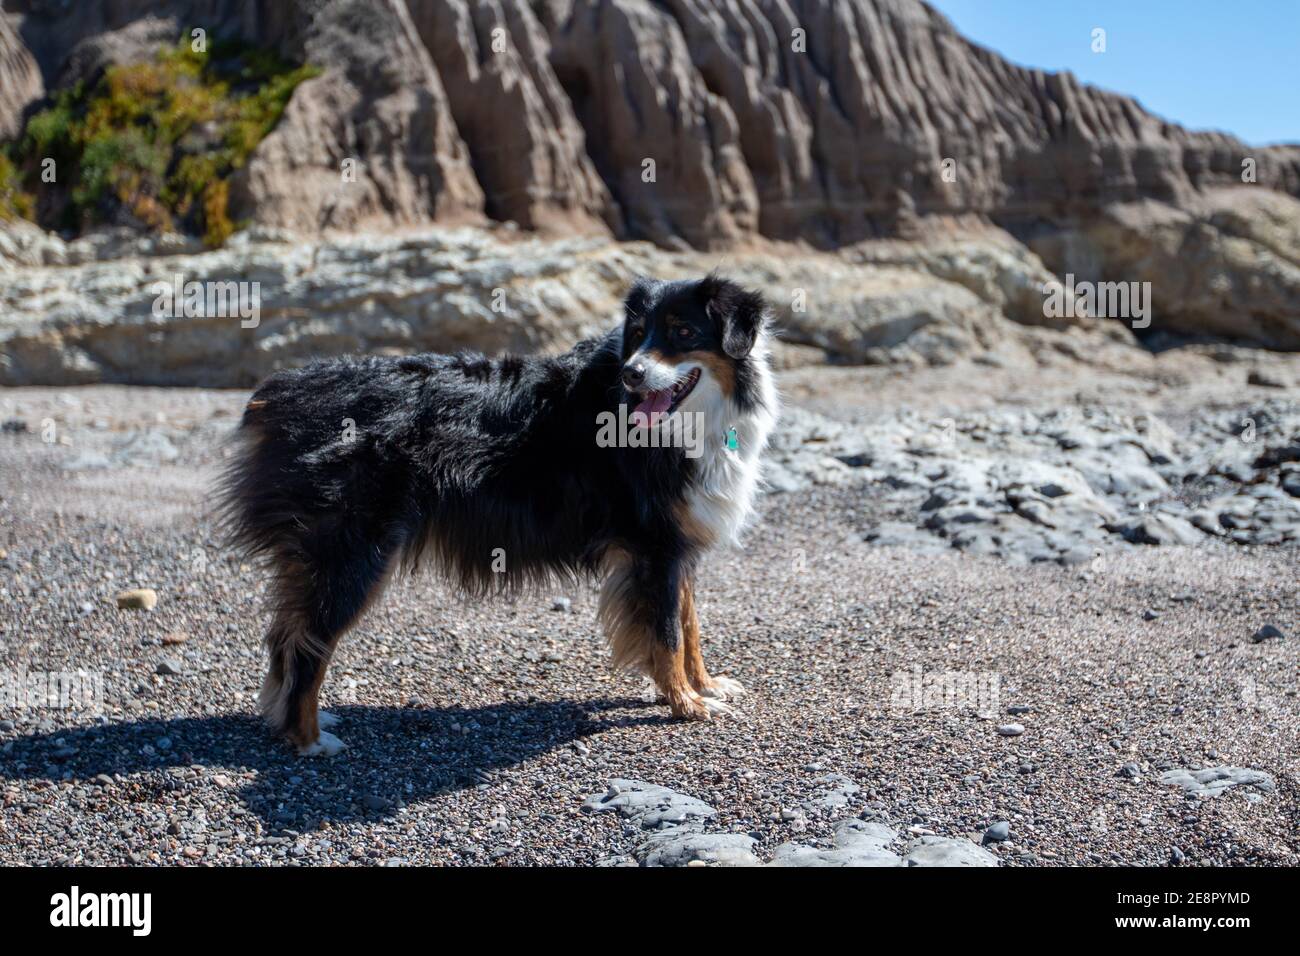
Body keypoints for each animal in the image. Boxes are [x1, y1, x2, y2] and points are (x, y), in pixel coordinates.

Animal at [218, 274, 774, 754]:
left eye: (682, 333)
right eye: (636, 335)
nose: (631, 373)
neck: (690, 422)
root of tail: (280, 393)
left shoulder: (676, 545)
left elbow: (689, 625)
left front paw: (705, 686)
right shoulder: (652, 546)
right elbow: (667, 633)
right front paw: (685, 704)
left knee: (286, 631)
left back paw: (290, 718)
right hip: (354, 550)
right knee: (308, 642)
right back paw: (308, 738)